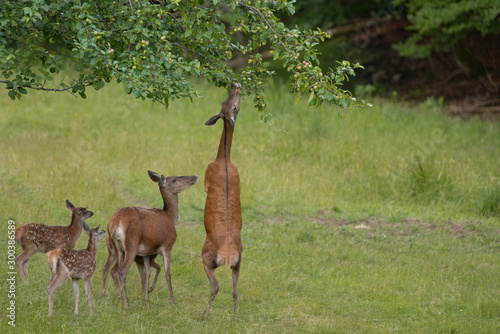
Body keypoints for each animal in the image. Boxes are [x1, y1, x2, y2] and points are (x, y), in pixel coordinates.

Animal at [107, 170, 197, 308]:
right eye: (174, 179)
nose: (195, 176)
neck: (171, 217)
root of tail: (116, 221)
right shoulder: (167, 246)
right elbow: (167, 274)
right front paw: (172, 300)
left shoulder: (146, 251)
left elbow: (147, 272)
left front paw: (146, 297)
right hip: (131, 243)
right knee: (122, 271)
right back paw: (126, 303)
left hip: (117, 247)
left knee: (115, 270)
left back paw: (120, 296)